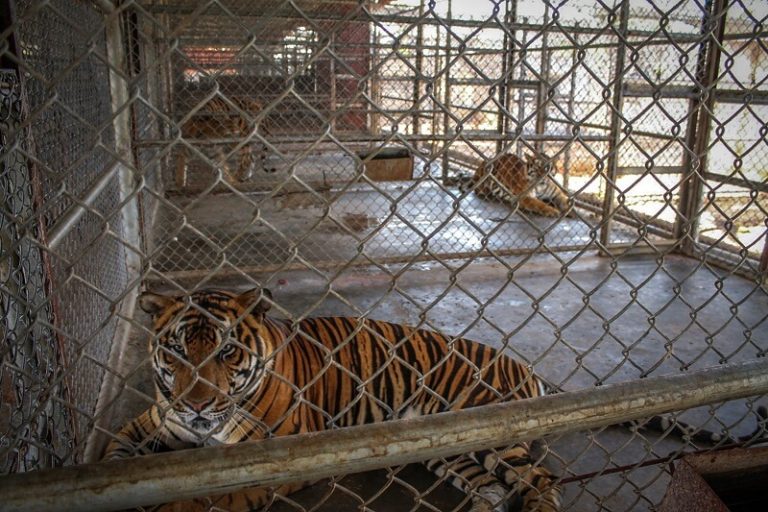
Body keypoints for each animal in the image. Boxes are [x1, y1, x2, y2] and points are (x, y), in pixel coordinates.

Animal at [104, 288, 562, 512]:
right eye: (176, 351)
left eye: (227, 351)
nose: (198, 405)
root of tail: (526, 367)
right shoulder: (146, 427)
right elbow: (113, 459)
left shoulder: (266, 460)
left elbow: (202, 497)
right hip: (449, 447)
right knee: (494, 490)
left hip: (495, 431)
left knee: (541, 481)